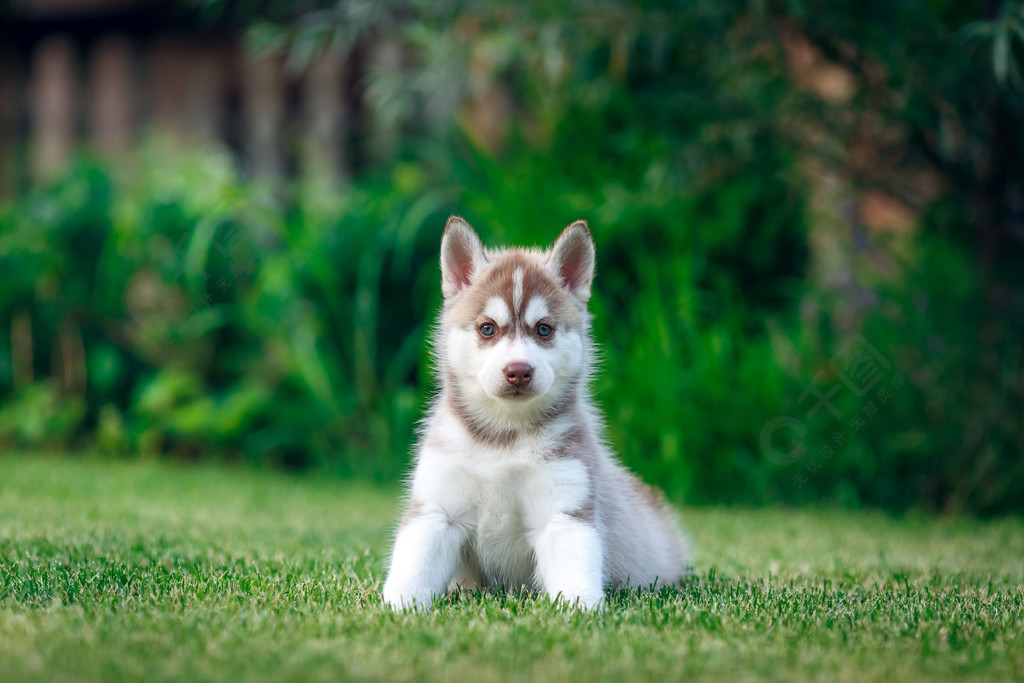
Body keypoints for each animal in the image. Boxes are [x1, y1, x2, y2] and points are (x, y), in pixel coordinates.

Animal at [385, 219, 696, 610]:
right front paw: (396, 608)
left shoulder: (564, 512)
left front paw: (579, 612)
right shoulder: (437, 511)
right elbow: (412, 569)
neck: (503, 438)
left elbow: (574, 575)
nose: (518, 370)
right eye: (488, 328)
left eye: (543, 329)